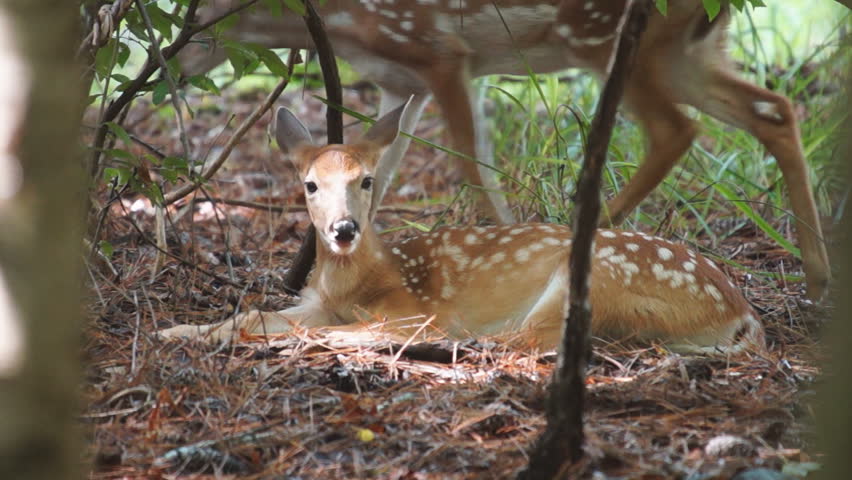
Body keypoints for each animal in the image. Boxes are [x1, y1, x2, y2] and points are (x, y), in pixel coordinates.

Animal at [159, 102, 765, 355]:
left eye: (367, 179)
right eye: (309, 184)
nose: (344, 229)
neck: (359, 282)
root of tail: (741, 312)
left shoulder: (412, 306)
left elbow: (346, 327)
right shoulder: (316, 302)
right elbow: (255, 315)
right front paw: (179, 332)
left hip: (595, 277)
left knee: (527, 338)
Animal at [178, 0, 830, 302]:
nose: (166, 63)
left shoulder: (440, 51)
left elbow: (472, 165)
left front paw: (501, 252)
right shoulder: (399, 76)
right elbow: (379, 177)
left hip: (616, 42)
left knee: (677, 131)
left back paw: (589, 230)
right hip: (684, 50)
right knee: (775, 109)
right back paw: (819, 276)